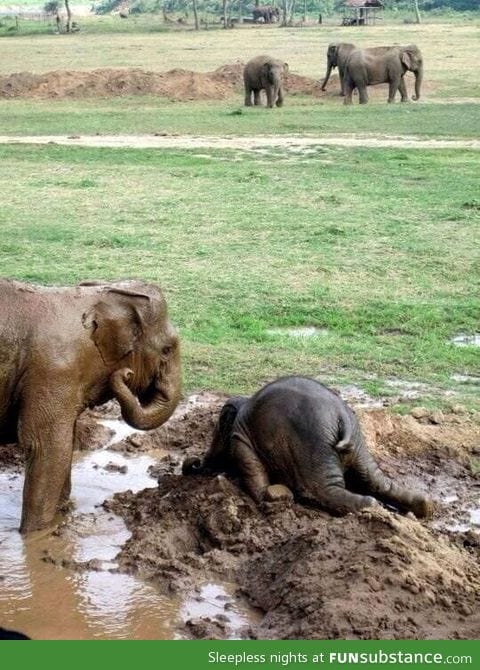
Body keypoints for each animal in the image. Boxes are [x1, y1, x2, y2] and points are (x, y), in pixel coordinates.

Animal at [0, 280, 180, 536]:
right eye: (166, 349)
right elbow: (48, 447)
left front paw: (63, 516)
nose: (126, 374)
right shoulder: (53, 372)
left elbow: (66, 444)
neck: (96, 296)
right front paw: (34, 536)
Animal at [183, 378, 432, 520]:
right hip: (357, 443)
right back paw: (420, 508)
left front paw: (269, 497)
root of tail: (342, 417)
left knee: (321, 490)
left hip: (313, 447)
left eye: (218, 428)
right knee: (376, 481)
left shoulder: (240, 439)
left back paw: (372, 507)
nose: (193, 462)